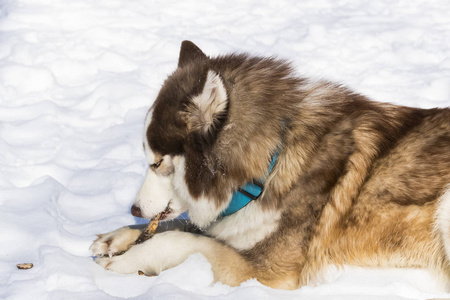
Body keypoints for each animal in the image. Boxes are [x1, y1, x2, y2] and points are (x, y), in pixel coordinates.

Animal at [90, 41, 450, 290]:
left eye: (157, 161)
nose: (134, 209)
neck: (268, 167)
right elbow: (180, 226)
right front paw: (119, 237)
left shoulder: (269, 272)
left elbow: (185, 240)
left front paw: (129, 260)